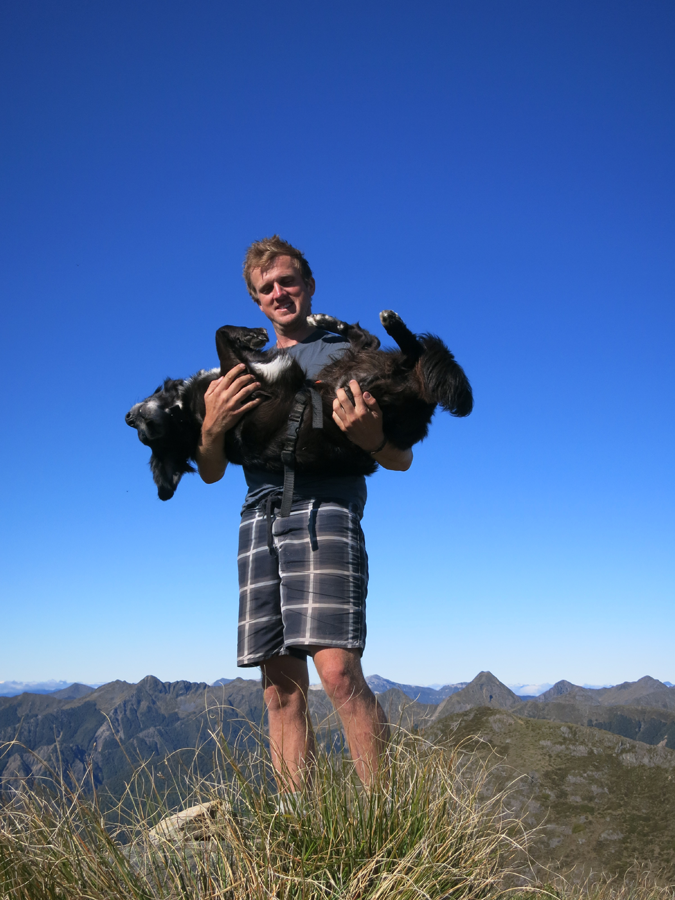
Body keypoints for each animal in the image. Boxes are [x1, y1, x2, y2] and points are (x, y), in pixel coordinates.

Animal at [127, 312, 476, 500]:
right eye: (149, 436)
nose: (128, 418)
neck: (187, 415)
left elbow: (219, 332)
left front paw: (250, 335)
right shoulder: (244, 377)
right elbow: (219, 334)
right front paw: (252, 335)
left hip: (341, 367)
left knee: (370, 341)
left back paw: (326, 319)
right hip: (374, 386)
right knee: (411, 352)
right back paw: (393, 325)